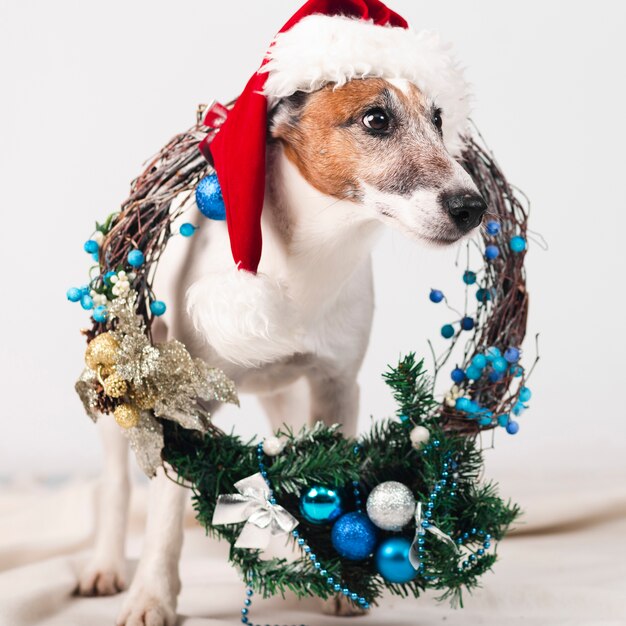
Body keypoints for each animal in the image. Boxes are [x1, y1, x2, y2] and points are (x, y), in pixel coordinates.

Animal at [77, 4, 482, 624]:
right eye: (376, 119)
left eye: (438, 120)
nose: (473, 206)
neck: (309, 259)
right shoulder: (179, 404)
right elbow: (164, 519)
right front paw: (151, 596)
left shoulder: (335, 385)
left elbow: (330, 479)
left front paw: (340, 579)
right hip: (117, 397)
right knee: (115, 487)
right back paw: (104, 565)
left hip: (286, 397)